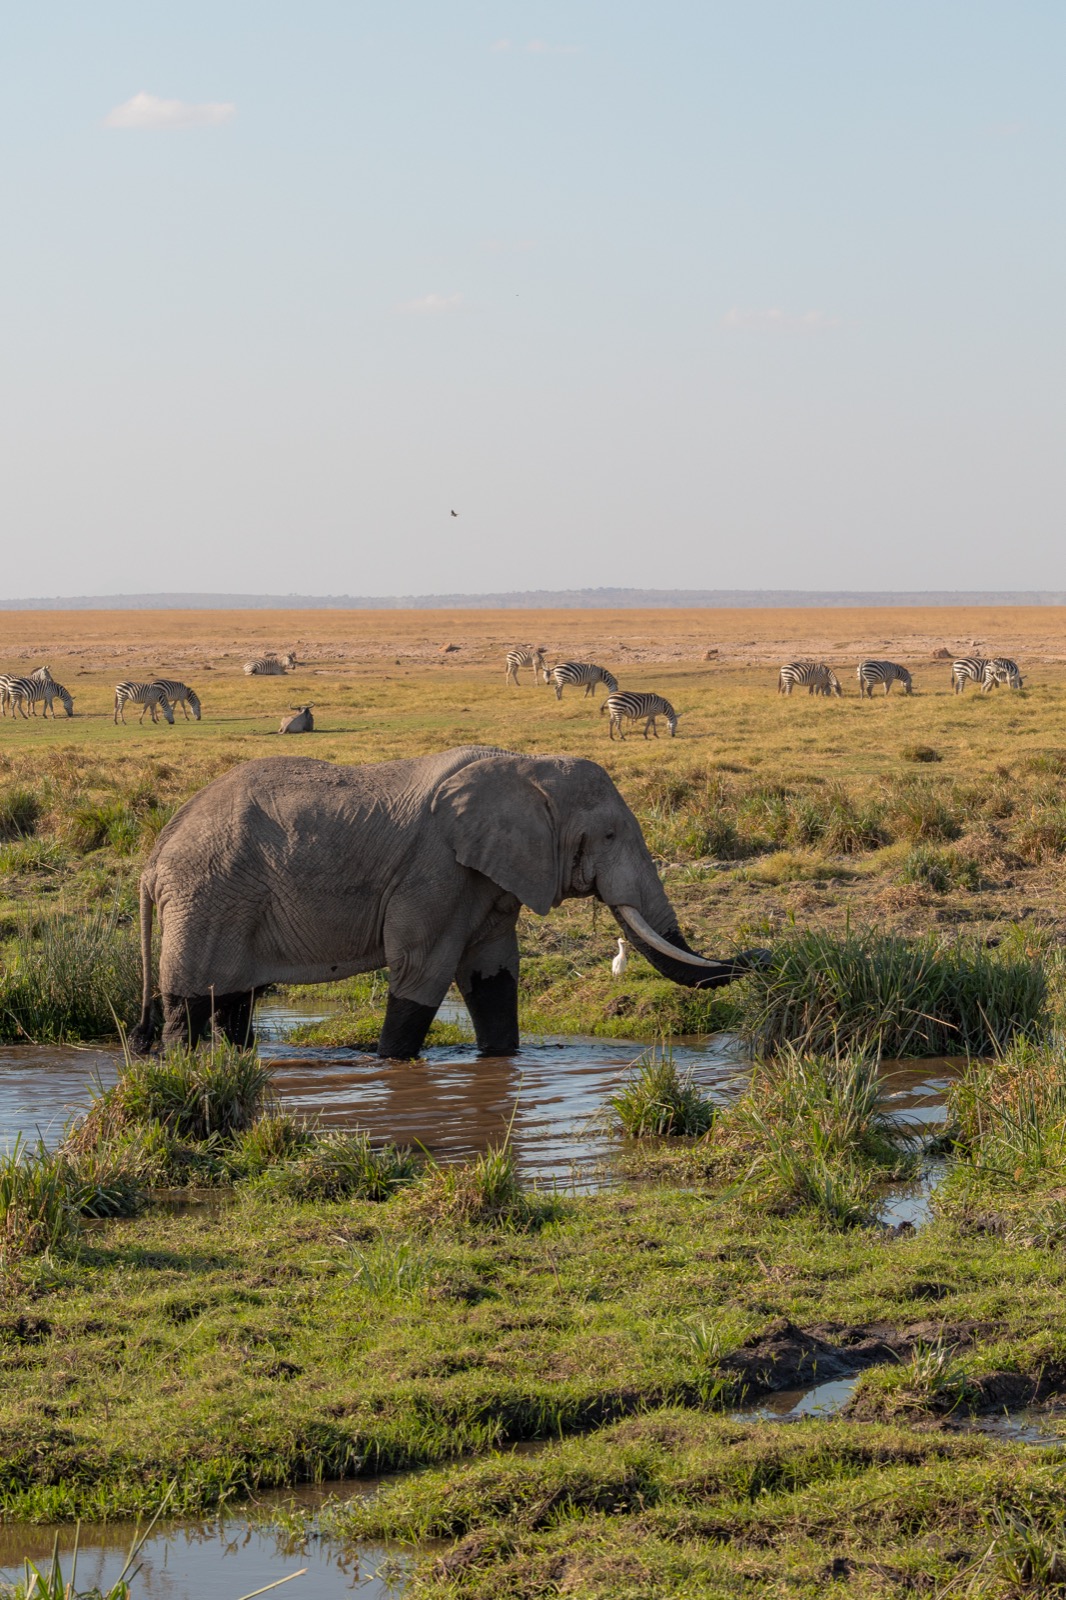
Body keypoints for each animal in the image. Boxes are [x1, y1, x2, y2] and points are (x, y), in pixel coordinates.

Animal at [128, 746, 765, 1060]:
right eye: (609, 836)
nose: (760, 956)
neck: (525, 764)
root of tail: (154, 860)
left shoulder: (490, 875)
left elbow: (493, 971)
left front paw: (502, 1060)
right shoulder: (435, 868)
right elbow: (422, 968)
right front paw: (391, 1065)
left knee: (232, 1003)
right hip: (208, 896)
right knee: (193, 1002)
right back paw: (186, 1069)